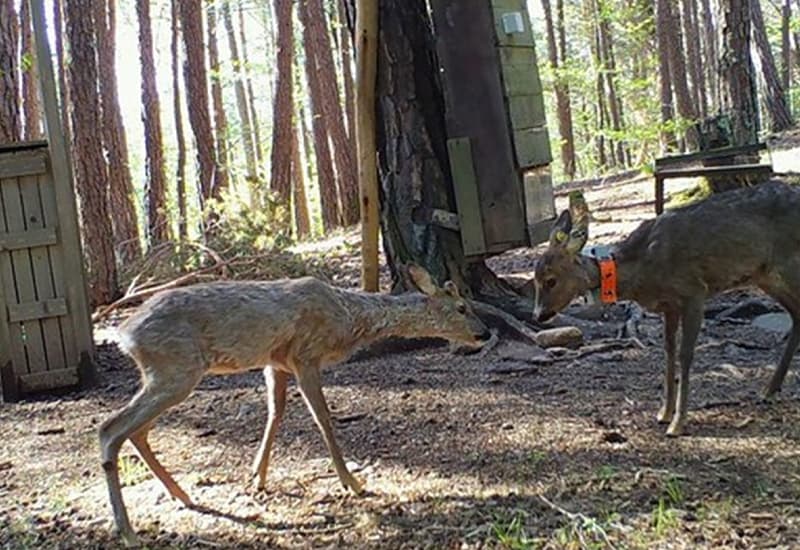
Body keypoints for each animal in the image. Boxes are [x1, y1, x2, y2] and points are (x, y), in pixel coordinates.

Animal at [100, 268, 488, 548]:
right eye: (462, 307)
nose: (484, 333)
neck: (350, 318)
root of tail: (124, 335)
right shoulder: (306, 354)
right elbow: (323, 417)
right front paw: (353, 482)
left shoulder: (276, 362)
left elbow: (276, 412)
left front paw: (257, 477)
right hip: (175, 368)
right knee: (111, 428)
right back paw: (129, 532)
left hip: (166, 374)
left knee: (137, 430)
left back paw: (183, 495)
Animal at [532, 183, 800, 438]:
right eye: (535, 279)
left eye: (551, 280)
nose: (538, 315)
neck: (644, 271)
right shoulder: (669, 305)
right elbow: (668, 351)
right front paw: (663, 412)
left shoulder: (694, 291)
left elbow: (685, 354)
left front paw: (678, 423)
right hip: (766, 276)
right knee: (796, 314)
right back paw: (768, 390)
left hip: (787, 265)